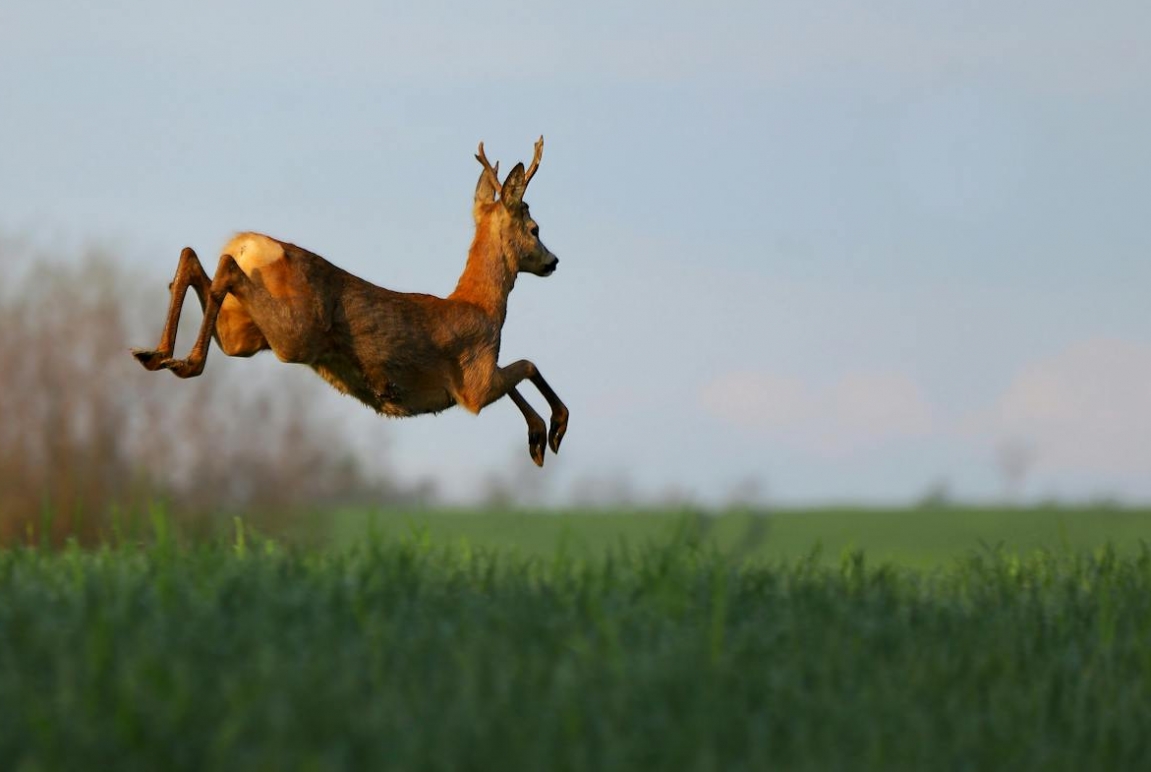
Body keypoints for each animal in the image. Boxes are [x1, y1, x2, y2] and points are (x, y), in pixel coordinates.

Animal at [130, 134, 566, 464]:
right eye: (535, 228)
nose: (554, 261)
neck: (482, 305)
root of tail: (248, 244)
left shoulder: (482, 378)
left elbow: (520, 372)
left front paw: (538, 437)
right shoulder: (474, 383)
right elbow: (527, 364)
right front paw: (552, 430)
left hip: (244, 335)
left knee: (193, 257)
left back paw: (157, 354)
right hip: (293, 332)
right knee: (223, 268)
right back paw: (184, 361)